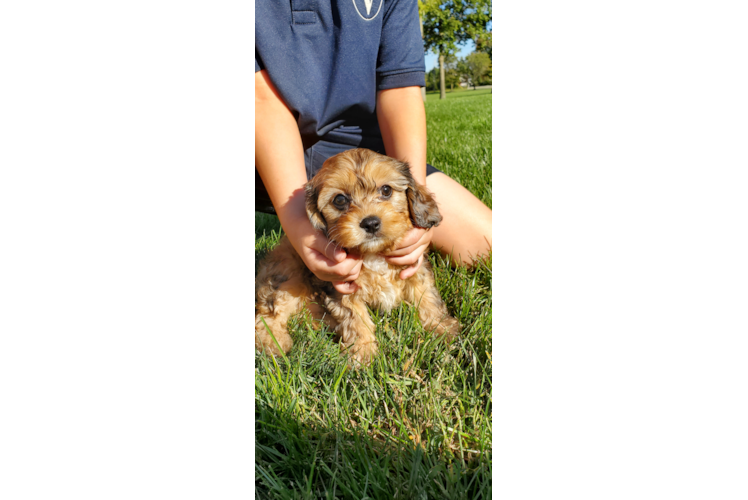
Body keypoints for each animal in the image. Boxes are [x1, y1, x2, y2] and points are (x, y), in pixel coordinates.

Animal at [254, 149, 458, 368]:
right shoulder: (342, 289)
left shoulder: (415, 269)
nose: (370, 223)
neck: (373, 254)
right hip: (286, 278)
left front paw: (442, 328)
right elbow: (356, 320)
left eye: (386, 190)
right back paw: (274, 343)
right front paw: (363, 353)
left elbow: (427, 298)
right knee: (268, 315)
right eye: (340, 200)